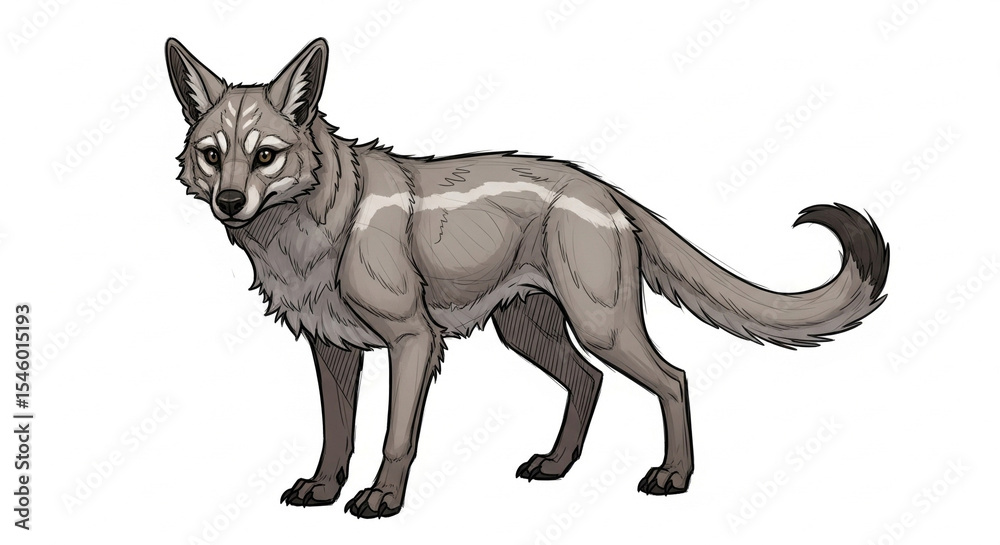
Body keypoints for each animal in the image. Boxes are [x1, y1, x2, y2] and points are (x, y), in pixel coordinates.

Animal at [165, 37, 889, 518]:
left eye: (266, 155)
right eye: (212, 156)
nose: (230, 201)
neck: (314, 231)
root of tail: (605, 189)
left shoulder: (412, 341)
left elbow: (395, 438)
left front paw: (383, 499)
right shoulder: (332, 349)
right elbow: (334, 434)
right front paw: (322, 489)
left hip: (601, 327)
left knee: (674, 379)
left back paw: (674, 476)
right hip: (530, 332)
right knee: (589, 382)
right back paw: (558, 465)